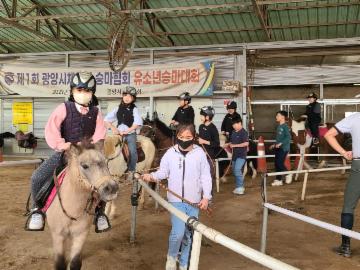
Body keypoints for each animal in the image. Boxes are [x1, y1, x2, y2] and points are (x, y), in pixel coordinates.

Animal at [45, 141, 119, 270]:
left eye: (106, 162)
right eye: (84, 166)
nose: (112, 188)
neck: (73, 210)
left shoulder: (81, 234)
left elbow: (75, 262)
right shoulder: (58, 236)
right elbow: (60, 264)